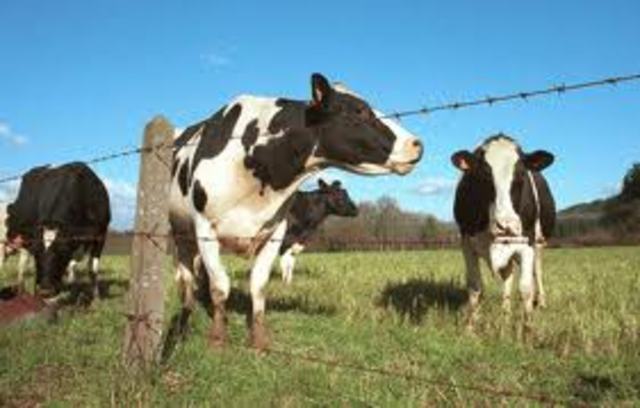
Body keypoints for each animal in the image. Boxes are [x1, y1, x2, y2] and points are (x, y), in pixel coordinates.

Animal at [5, 162, 111, 298]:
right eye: (36, 251)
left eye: (63, 250)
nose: (45, 290)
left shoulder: (101, 234)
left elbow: (92, 268)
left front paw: (96, 296)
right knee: (23, 265)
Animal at [170, 73, 423, 350]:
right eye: (360, 110)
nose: (417, 144)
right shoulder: (205, 227)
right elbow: (220, 286)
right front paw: (217, 339)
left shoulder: (276, 232)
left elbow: (259, 285)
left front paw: (259, 342)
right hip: (180, 232)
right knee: (187, 277)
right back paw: (185, 316)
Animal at [451, 134, 555, 331]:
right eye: (484, 175)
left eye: (521, 174)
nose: (506, 224)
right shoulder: (466, 242)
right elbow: (475, 286)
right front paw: (470, 327)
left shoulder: (527, 242)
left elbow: (526, 288)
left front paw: (528, 327)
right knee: (508, 275)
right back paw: (505, 313)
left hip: (539, 242)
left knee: (537, 271)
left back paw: (542, 302)